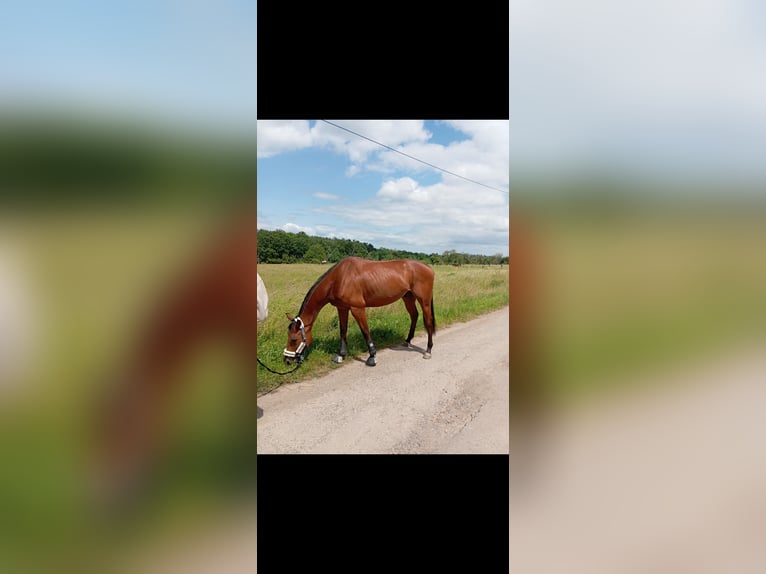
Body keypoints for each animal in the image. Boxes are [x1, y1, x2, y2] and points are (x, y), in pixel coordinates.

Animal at [283, 256, 436, 367]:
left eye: (294, 339)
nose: (287, 360)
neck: (339, 278)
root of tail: (428, 268)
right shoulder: (342, 308)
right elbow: (343, 330)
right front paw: (341, 355)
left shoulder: (357, 309)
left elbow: (365, 331)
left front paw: (372, 357)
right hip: (408, 297)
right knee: (414, 316)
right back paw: (408, 340)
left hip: (424, 300)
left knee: (427, 321)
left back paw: (428, 351)